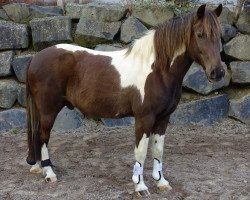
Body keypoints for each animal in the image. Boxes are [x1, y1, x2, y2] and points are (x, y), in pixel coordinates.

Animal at [26, 3, 224, 198]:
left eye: (219, 35)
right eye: (200, 34)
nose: (218, 72)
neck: (157, 70)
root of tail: (36, 58)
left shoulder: (163, 118)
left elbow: (158, 150)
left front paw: (161, 182)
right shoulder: (144, 118)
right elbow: (141, 152)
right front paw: (140, 187)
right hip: (48, 110)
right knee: (43, 136)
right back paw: (49, 173)